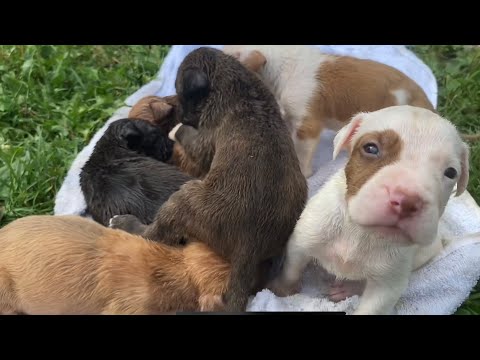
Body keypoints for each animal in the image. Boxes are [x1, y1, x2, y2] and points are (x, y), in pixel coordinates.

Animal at [109, 46, 308, 310]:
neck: (242, 89)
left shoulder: (203, 140)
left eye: (180, 91)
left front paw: (175, 129)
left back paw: (123, 223)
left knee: (153, 234)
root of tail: (250, 246)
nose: (176, 110)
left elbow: (188, 136)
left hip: (184, 198)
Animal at [268, 105, 470, 316]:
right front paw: (282, 290)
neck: (360, 231)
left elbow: (373, 306)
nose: (407, 201)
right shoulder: (302, 241)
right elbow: (291, 269)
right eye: (371, 148)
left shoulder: (387, 286)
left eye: (451, 172)